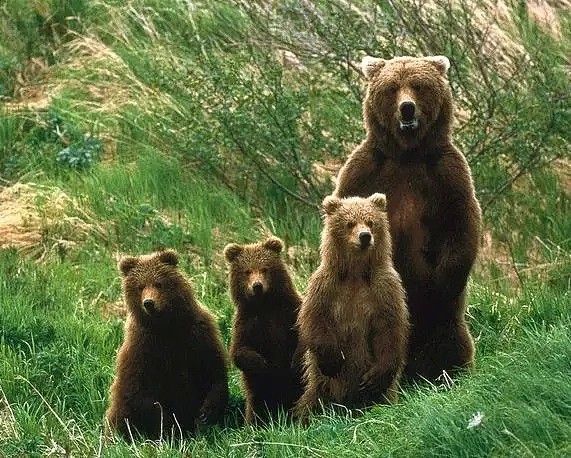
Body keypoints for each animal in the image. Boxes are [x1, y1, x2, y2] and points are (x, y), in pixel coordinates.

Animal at [105, 250, 230, 440]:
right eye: (140, 286)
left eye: (158, 283)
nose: (149, 303)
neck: (166, 326)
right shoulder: (142, 346)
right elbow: (140, 390)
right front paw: (170, 424)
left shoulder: (198, 333)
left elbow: (214, 369)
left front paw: (207, 411)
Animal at [223, 238, 304, 424]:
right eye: (247, 271)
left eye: (264, 268)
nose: (257, 286)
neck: (264, 305)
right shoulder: (247, 323)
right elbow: (239, 351)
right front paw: (263, 365)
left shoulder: (288, 312)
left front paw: (294, 363)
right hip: (258, 395)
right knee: (256, 406)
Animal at [292, 192, 408, 418]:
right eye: (349, 223)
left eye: (371, 222)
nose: (365, 236)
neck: (356, 273)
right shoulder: (326, 286)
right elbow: (315, 318)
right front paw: (333, 359)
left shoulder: (384, 288)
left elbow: (390, 327)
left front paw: (374, 378)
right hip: (321, 385)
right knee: (311, 401)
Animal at [336, 55, 482, 382]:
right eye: (392, 87)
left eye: (418, 85)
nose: (407, 108)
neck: (407, 154)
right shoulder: (364, 170)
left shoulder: (446, 173)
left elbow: (460, 222)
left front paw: (442, 284)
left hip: (444, 324)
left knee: (449, 338)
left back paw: (447, 372)